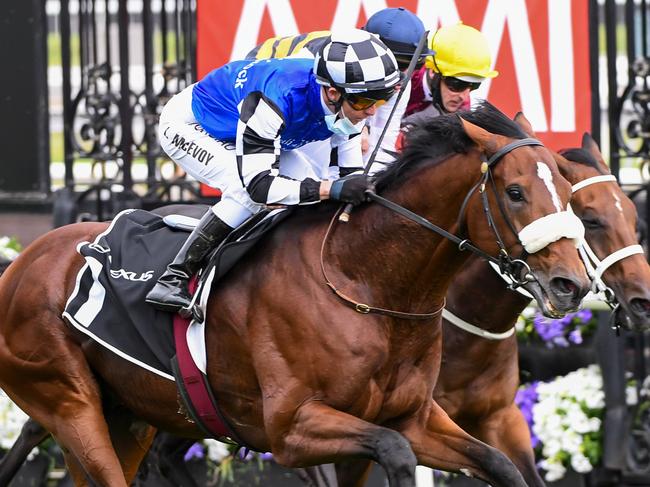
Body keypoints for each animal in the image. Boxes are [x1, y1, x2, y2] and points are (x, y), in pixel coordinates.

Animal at [0, 104, 588, 487]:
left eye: (564, 186)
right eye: (515, 192)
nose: (571, 283)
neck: (365, 281)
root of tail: (20, 264)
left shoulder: (415, 418)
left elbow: (500, 464)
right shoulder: (291, 429)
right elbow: (396, 454)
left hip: (129, 413)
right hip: (70, 403)